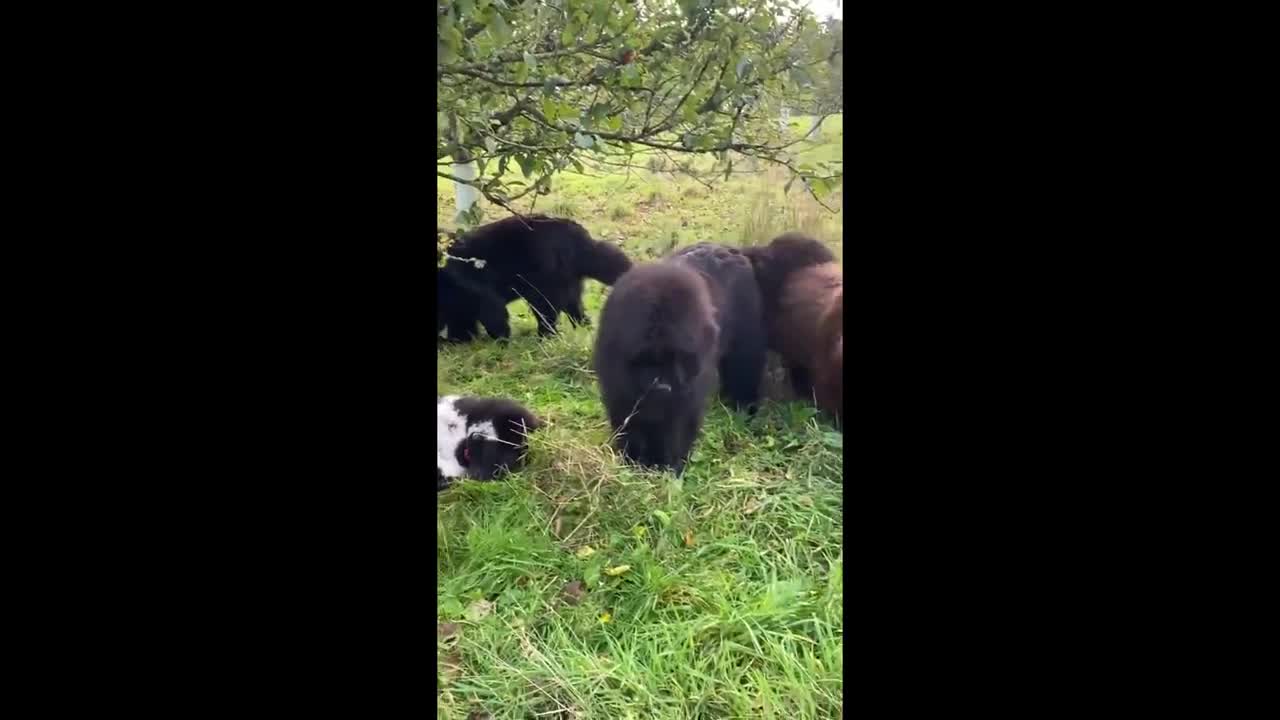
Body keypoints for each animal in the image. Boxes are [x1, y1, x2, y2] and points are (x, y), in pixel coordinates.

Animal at [437, 212, 632, 338]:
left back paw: (544, 338)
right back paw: (584, 331)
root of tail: (580, 239)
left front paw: (499, 342)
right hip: (568, 284)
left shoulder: (481, 293)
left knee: (548, 315)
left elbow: (493, 317)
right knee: (576, 310)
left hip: (544, 288)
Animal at [593, 240, 762, 474]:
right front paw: (632, 461)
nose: (663, 387)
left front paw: (670, 466)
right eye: (647, 360)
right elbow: (629, 426)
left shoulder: (687, 395)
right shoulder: (619, 390)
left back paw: (744, 409)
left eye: (678, 358)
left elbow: (676, 430)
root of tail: (730, 249)